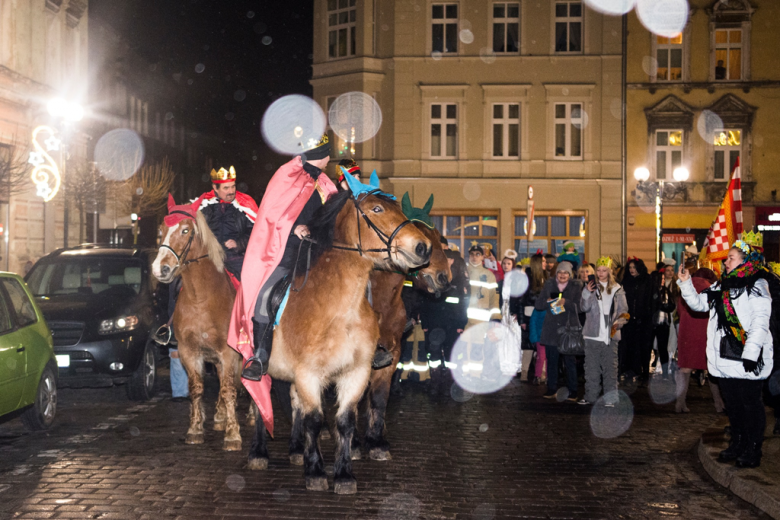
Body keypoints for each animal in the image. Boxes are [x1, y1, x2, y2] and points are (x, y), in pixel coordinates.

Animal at [151, 199, 245, 450]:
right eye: (160, 230)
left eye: (185, 230)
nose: (160, 269)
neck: (202, 298)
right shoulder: (189, 351)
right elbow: (197, 388)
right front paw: (195, 429)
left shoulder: (229, 352)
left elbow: (230, 389)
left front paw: (233, 435)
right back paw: (221, 417)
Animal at [247, 189, 432, 494]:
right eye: (378, 209)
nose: (423, 248)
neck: (338, 308)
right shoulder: (309, 373)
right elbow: (314, 420)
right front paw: (315, 472)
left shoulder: (356, 372)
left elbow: (345, 421)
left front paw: (344, 474)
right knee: (258, 403)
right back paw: (258, 453)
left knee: (294, 403)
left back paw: (295, 449)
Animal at [354, 221, 450, 462]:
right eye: (425, 247)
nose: (445, 278)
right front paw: (353, 444)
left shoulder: (392, 354)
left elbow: (379, 397)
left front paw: (377, 441)